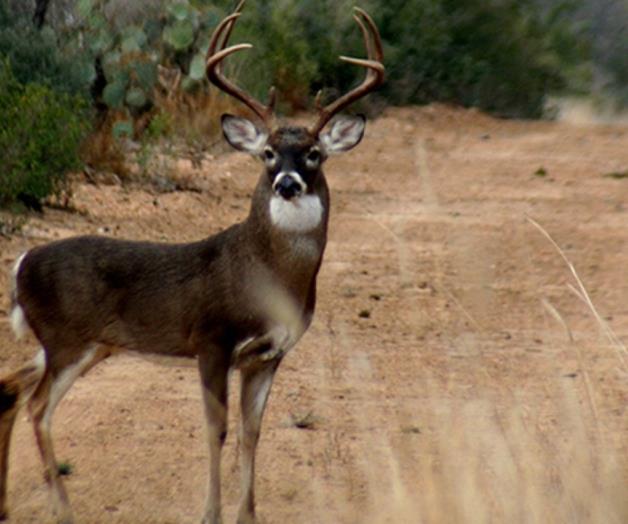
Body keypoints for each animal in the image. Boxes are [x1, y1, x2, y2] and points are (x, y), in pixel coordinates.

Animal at [0, 2, 382, 520]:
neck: (265, 277)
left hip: (83, 344)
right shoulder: (211, 338)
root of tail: (21, 262)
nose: (286, 183)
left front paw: (248, 514)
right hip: (66, 338)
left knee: (12, 386)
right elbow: (215, 430)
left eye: (314, 154)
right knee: (38, 407)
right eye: (267, 153)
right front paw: (211, 513)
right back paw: (63, 509)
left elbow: (251, 433)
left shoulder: (269, 355)